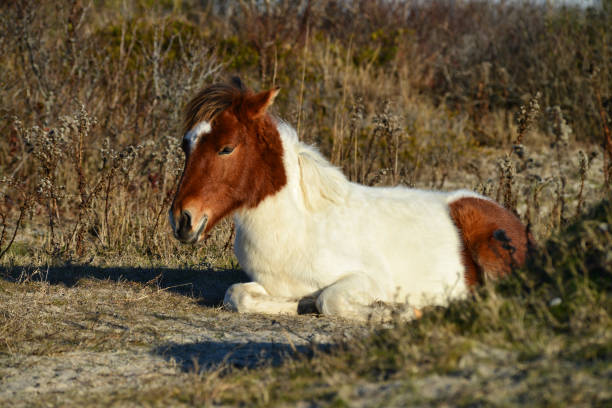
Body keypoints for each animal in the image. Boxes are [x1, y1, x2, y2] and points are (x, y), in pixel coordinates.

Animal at [169, 78, 532, 320]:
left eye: (226, 147)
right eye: (187, 144)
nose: (183, 220)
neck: (297, 228)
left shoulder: (366, 280)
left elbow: (329, 300)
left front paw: (398, 311)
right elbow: (237, 295)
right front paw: (297, 305)